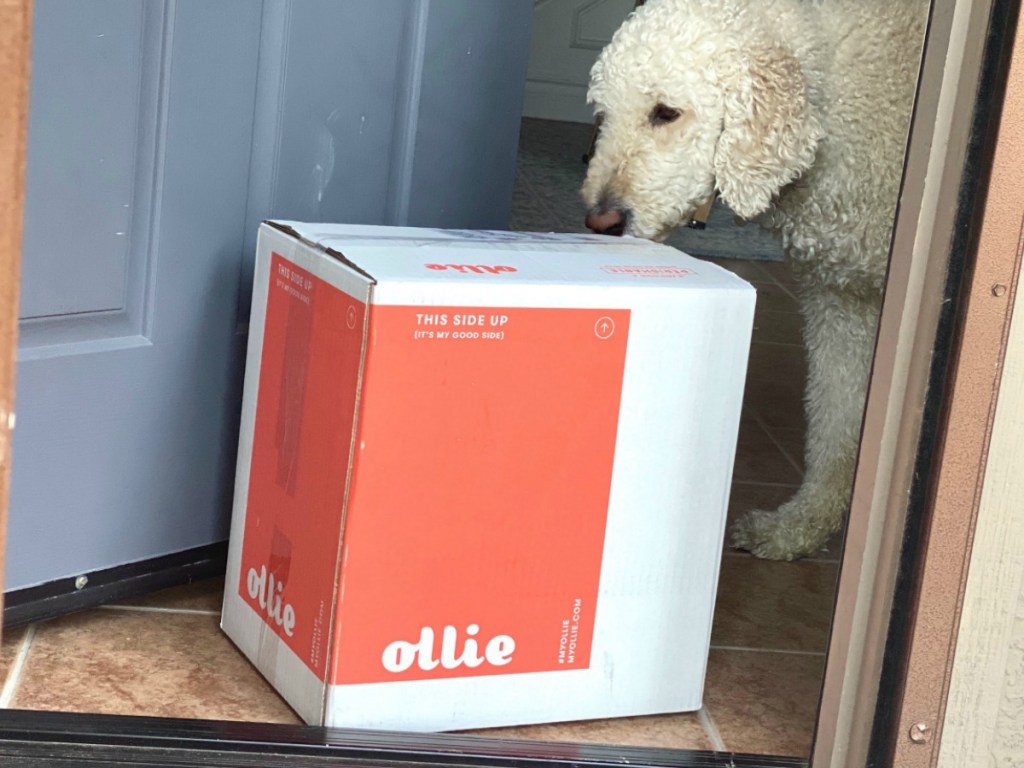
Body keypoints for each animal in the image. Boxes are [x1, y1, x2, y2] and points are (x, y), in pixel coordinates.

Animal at [585, 0, 929, 561]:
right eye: (602, 116)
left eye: (665, 112)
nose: (600, 221)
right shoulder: (841, 301)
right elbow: (836, 422)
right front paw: (800, 526)